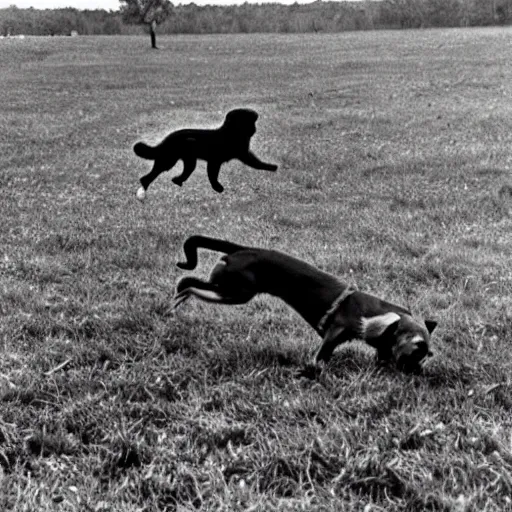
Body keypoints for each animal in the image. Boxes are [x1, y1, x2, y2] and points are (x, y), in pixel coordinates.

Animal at [132, 108, 276, 200]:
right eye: (250, 123)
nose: (254, 129)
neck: (231, 133)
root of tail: (167, 138)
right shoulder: (215, 160)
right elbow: (213, 175)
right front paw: (217, 188)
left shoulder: (244, 154)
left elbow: (257, 163)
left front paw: (271, 167)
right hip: (171, 158)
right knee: (150, 174)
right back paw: (144, 188)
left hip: (187, 160)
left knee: (181, 172)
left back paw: (177, 181)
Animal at [172, 235, 436, 372]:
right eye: (416, 351)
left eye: (426, 355)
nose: (419, 371)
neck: (379, 317)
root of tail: (244, 249)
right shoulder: (334, 334)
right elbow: (320, 359)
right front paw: (311, 372)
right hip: (235, 292)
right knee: (189, 283)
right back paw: (179, 296)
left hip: (229, 289)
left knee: (192, 282)